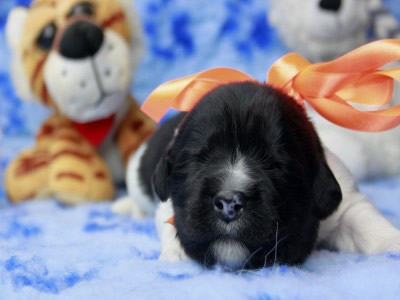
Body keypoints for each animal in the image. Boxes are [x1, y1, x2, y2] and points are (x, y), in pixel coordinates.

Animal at [111, 81, 400, 270]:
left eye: (275, 165)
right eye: (199, 159)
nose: (229, 203)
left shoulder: (347, 201)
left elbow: (367, 222)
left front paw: (393, 244)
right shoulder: (169, 203)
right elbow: (168, 219)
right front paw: (176, 253)